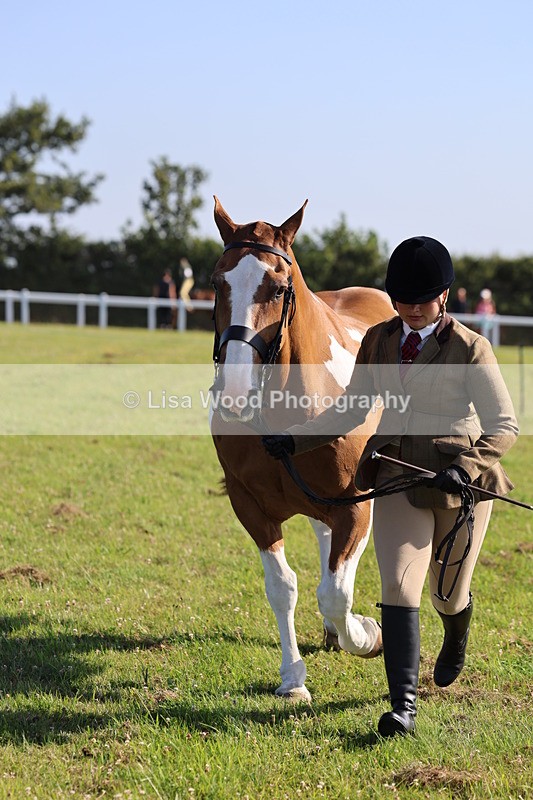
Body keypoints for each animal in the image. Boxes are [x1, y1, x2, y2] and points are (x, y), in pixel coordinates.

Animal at [210, 197, 394, 701]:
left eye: (277, 288)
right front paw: (292, 678)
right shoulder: (250, 506)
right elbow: (283, 587)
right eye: (216, 283)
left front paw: (369, 635)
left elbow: (335, 594)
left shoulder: (357, 508)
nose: (234, 393)